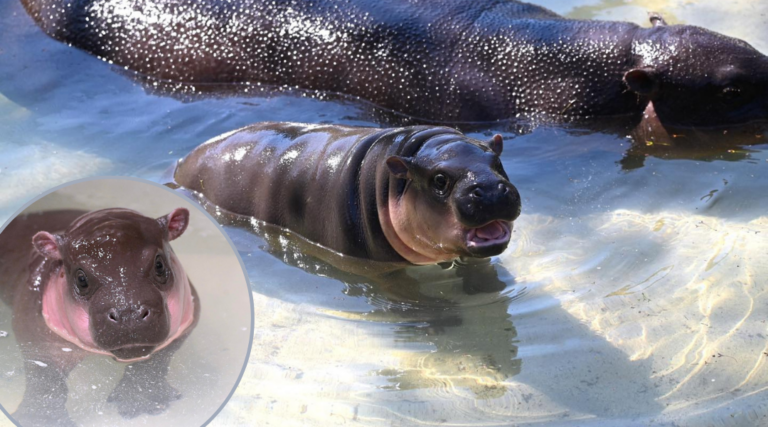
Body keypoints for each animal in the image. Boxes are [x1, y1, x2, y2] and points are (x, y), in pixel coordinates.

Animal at [0, 208, 199, 426]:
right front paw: (42, 418)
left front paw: (141, 401)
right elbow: (45, 378)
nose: (128, 314)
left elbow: (156, 361)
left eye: (159, 265)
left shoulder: (187, 320)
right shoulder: (37, 339)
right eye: (81, 278)